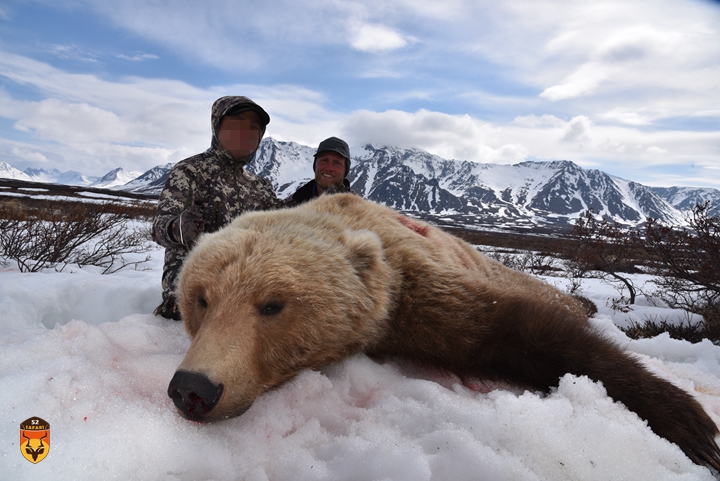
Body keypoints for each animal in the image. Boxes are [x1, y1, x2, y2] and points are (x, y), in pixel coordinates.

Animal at [167, 192, 720, 468]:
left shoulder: (415, 286)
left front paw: (691, 426)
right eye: (202, 298)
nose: (194, 387)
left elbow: (524, 333)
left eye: (272, 305)